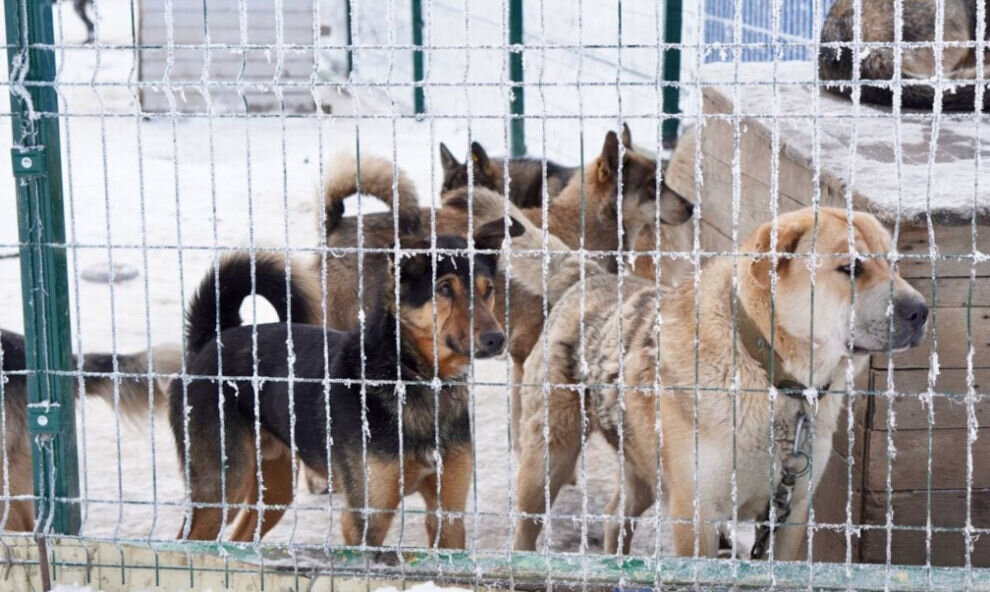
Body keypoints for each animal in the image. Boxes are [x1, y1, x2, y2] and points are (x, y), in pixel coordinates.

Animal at [171, 221, 528, 544]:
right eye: (444, 289)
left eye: (488, 290)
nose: (496, 339)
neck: (412, 377)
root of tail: (213, 339)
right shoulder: (367, 519)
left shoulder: (448, 514)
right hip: (222, 485)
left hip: (274, 488)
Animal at [512, 208, 928, 560]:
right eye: (851, 267)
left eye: (894, 264)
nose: (920, 311)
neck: (772, 375)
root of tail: (591, 276)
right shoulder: (697, 514)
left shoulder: (791, 513)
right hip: (548, 457)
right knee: (526, 529)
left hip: (642, 466)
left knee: (616, 516)